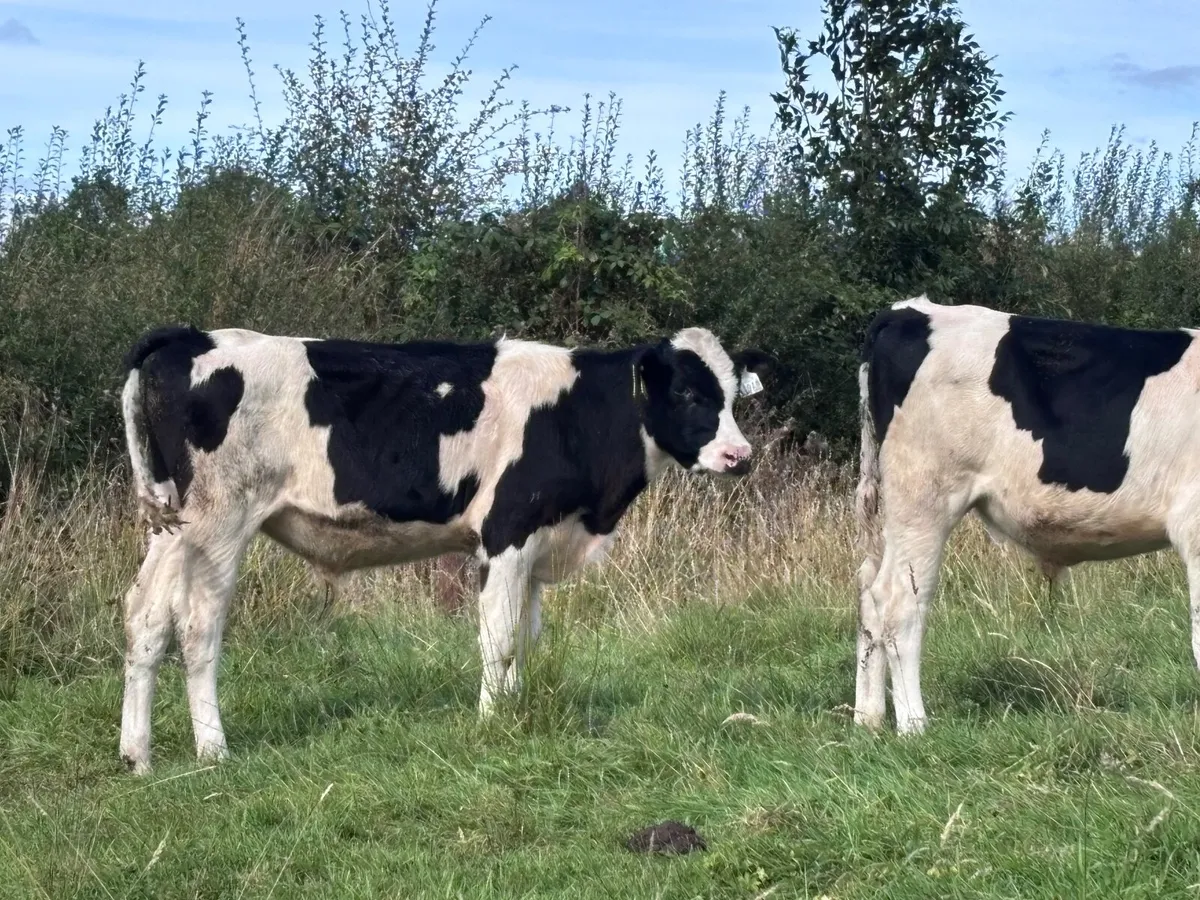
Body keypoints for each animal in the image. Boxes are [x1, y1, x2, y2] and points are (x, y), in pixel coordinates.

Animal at [117, 324, 770, 773]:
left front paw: (513, 709)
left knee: (146, 617)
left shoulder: (536, 546)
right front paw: (490, 722)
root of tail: (193, 336)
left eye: (733, 393)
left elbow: (524, 638)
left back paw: (137, 755)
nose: (739, 456)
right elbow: (498, 637)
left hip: (172, 523)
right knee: (197, 625)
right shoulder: (507, 533)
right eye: (686, 393)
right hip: (219, 521)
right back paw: (212, 751)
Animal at [855, 295, 1200, 734]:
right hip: (923, 498)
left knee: (869, 594)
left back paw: (868, 718)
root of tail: (909, 310)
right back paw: (914, 726)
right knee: (899, 602)